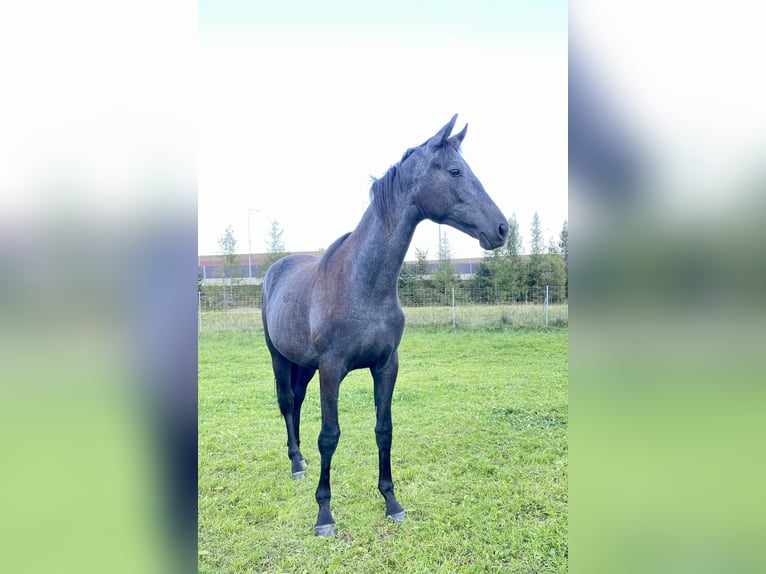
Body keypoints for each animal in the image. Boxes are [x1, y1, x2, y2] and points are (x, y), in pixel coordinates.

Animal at [262, 115, 510, 536]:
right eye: (455, 171)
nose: (502, 228)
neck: (362, 283)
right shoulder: (332, 370)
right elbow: (329, 436)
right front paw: (324, 514)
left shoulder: (386, 366)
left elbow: (384, 430)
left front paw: (391, 501)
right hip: (280, 358)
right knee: (286, 403)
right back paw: (296, 463)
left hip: (304, 366)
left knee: (296, 401)